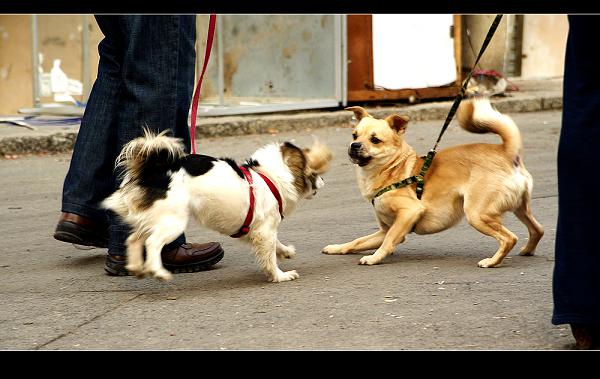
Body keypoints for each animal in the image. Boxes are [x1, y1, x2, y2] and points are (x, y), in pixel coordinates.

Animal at [101, 131, 330, 282]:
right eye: (313, 172)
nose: (323, 181)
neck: (268, 177)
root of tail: (154, 171)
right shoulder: (265, 230)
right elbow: (269, 254)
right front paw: (280, 275)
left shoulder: (256, 230)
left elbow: (277, 245)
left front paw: (286, 252)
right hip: (173, 221)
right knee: (153, 243)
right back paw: (158, 271)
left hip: (154, 218)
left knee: (133, 239)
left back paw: (135, 266)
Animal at [324, 99, 544, 268]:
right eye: (354, 135)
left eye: (375, 140)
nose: (354, 145)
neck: (392, 170)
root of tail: (507, 152)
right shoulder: (385, 229)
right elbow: (357, 241)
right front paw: (337, 248)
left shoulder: (408, 214)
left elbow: (387, 241)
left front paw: (374, 257)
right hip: (519, 209)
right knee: (537, 229)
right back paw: (527, 251)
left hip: (477, 214)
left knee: (509, 238)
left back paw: (492, 261)